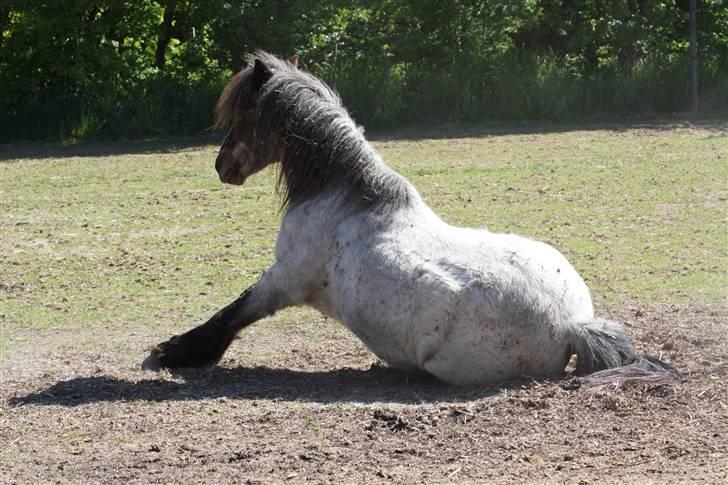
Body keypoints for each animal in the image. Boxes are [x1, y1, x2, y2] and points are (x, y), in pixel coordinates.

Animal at [142, 52, 676, 386]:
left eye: (245, 116)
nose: (222, 166)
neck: (344, 195)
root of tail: (573, 325)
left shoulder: (284, 278)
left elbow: (232, 313)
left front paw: (172, 353)